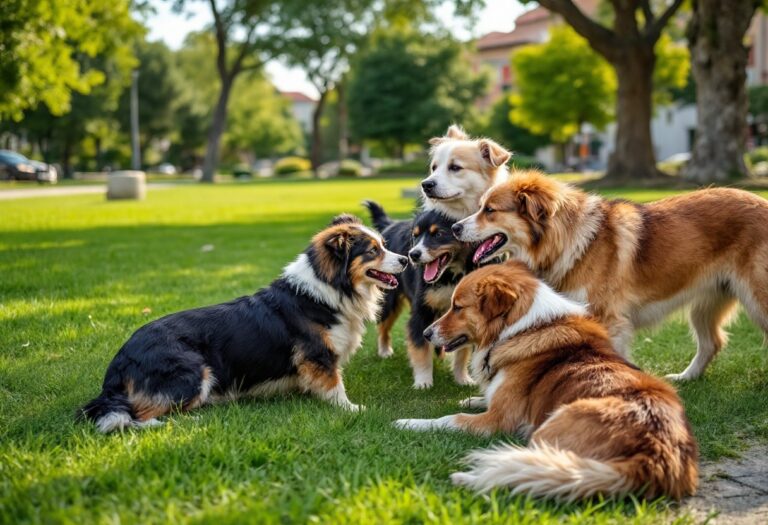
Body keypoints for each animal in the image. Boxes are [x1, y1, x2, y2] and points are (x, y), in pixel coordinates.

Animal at [79, 215, 408, 432]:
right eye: (373, 251)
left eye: (384, 244)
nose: (406, 259)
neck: (329, 288)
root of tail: (119, 364)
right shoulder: (318, 355)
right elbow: (334, 385)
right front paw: (351, 409)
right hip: (193, 371)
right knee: (137, 416)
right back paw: (185, 420)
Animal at [364, 201, 476, 388]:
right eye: (415, 236)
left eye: (438, 234)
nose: (412, 255)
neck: (450, 276)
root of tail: (390, 225)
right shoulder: (421, 311)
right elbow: (420, 348)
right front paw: (423, 381)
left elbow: (462, 351)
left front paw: (462, 379)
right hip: (389, 300)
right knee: (383, 327)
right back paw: (385, 351)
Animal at [392, 262, 700, 500]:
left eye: (457, 307)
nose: (426, 333)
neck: (518, 327)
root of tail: (655, 457)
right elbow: (482, 398)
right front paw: (472, 397)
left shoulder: (498, 420)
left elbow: (449, 419)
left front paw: (409, 423)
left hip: (547, 431)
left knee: (533, 467)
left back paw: (470, 479)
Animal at [452, 172, 768, 380]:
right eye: (480, 207)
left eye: (489, 210)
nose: (455, 228)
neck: (570, 240)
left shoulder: (609, 320)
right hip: (704, 305)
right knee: (712, 343)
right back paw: (685, 377)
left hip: (757, 302)